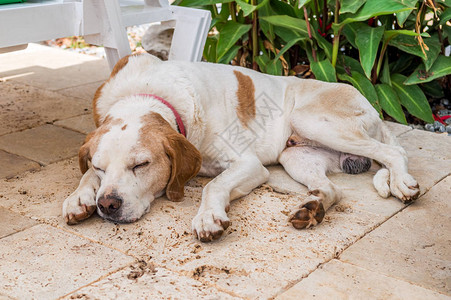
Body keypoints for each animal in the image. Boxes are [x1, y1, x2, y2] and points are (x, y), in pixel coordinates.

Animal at [61, 53, 422, 241]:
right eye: (100, 167)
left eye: (141, 165)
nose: (108, 205)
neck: (146, 93)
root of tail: (370, 104)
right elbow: (84, 177)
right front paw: (80, 196)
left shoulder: (248, 164)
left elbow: (214, 186)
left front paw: (208, 216)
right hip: (295, 155)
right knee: (333, 190)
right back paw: (312, 208)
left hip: (312, 120)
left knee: (395, 153)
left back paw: (403, 183)